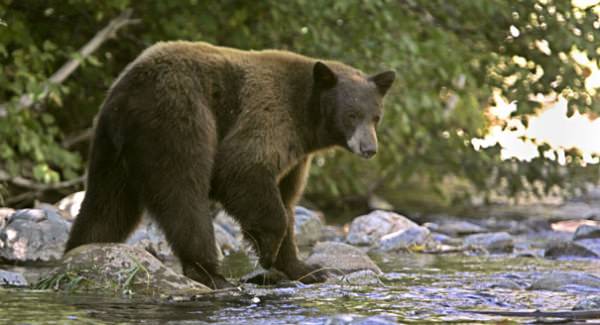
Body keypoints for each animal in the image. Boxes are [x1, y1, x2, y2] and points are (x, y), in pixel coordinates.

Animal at [64, 41, 394, 288]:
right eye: (351, 114)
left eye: (375, 116)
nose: (369, 148)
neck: (306, 115)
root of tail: (125, 93)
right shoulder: (271, 113)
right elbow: (241, 167)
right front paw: (267, 252)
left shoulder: (298, 157)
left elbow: (287, 199)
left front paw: (307, 268)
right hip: (177, 119)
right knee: (183, 195)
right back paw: (211, 273)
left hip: (110, 150)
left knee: (106, 206)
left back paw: (81, 250)